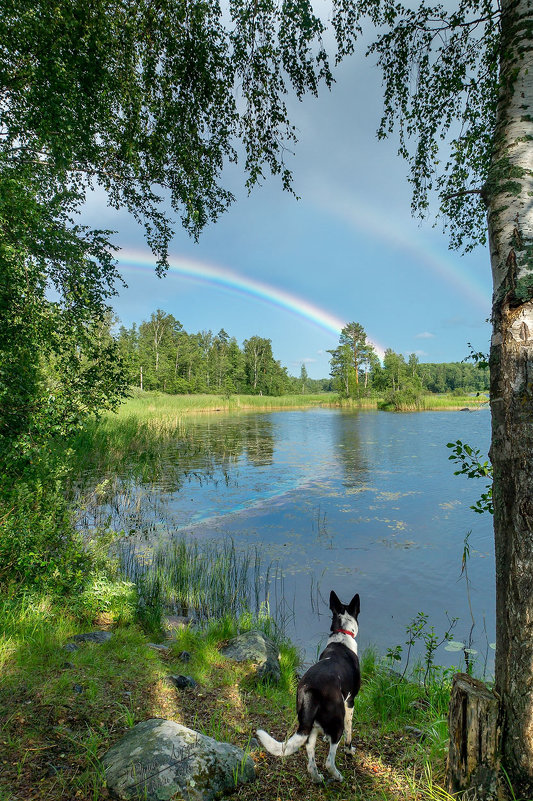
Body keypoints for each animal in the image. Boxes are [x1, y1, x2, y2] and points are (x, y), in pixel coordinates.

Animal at [256, 588, 360, 780]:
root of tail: (310, 690)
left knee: (310, 753)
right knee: (329, 760)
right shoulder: (350, 702)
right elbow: (350, 733)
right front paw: (350, 751)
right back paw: (337, 776)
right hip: (337, 721)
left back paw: (317, 777)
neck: (342, 636)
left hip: (308, 722)